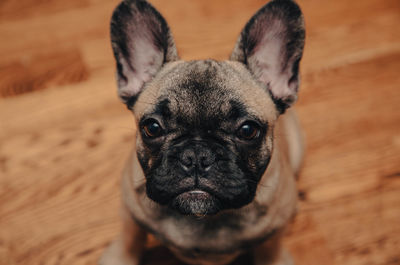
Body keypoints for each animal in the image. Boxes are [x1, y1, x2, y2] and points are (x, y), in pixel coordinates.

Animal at [100, 0, 304, 264]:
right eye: (152, 128)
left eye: (248, 130)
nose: (196, 156)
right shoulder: (130, 213)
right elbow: (130, 237)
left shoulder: (272, 238)